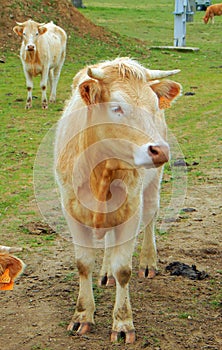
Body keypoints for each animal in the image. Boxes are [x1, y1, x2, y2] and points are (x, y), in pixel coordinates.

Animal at [54, 56, 182, 342]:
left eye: (153, 106)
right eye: (116, 108)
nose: (160, 150)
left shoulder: (131, 208)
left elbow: (124, 269)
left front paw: (123, 323)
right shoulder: (71, 209)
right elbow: (83, 264)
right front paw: (82, 316)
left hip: (152, 187)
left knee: (150, 219)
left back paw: (147, 261)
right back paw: (105, 272)